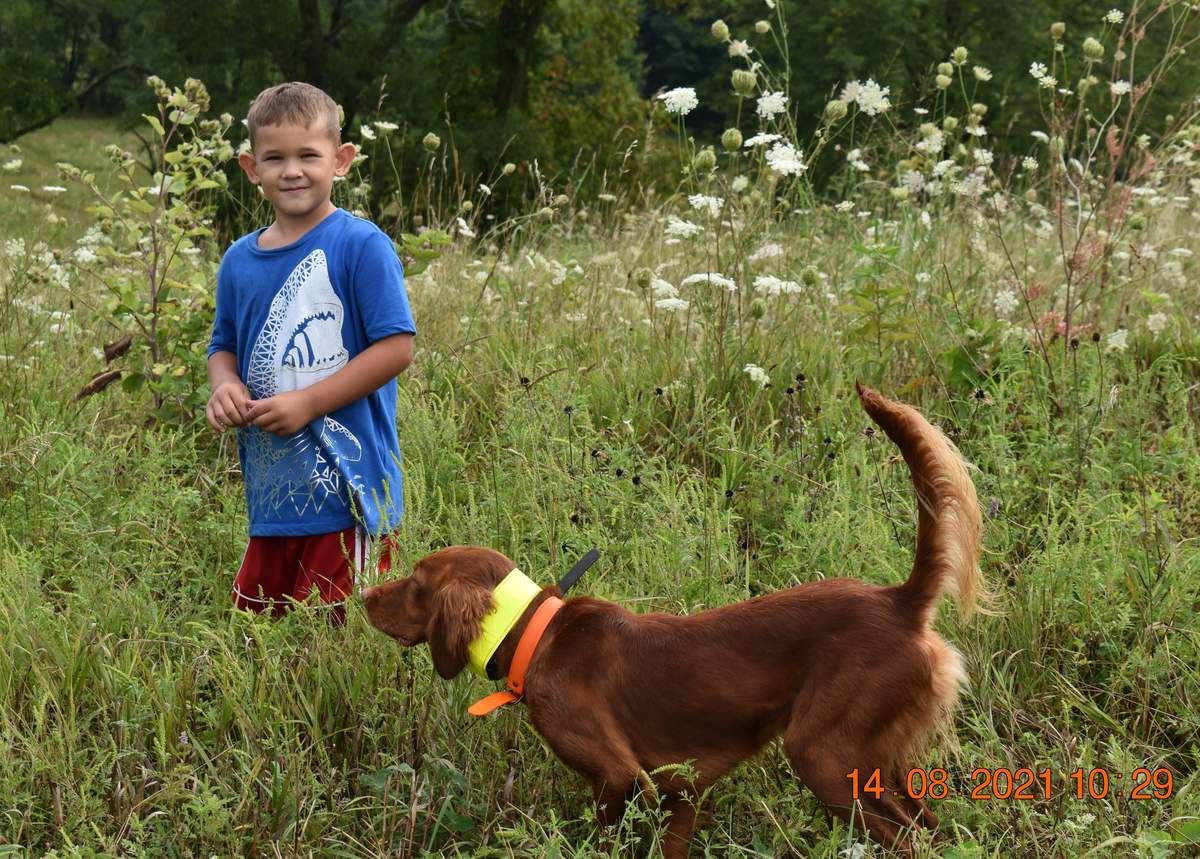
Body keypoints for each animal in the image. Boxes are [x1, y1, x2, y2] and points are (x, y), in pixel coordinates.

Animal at [360, 383, 979, 858]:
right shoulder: (680, 791)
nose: (363, 594)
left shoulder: (618, 777)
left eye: (416, 582)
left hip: (824, 758)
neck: (539, 637)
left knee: (906, 840)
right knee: (928, 826)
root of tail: (899, 601)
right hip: (875, 765)